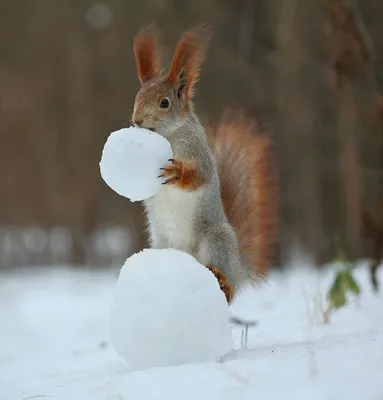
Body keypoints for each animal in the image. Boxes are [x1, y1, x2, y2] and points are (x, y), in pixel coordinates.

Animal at [132, 22, 280, 304]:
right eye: (136, 97)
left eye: (165, 103)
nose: (136, 121)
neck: (169, 135)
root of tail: (238, 268)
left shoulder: (198, 152)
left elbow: (201, 175)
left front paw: (177, 172)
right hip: (161, 241)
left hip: (216, 240)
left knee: (226, 287)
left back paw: (224, 283)